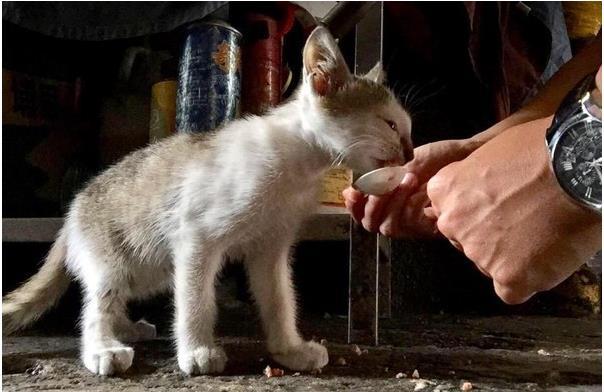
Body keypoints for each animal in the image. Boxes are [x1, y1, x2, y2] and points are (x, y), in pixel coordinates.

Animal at [3, 27, 410, 376]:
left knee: (116, 297)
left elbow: (279, 299)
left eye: (407, 130)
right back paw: (103, 348)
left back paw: (127, 328)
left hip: (149, 267)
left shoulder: (270, 247)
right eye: (390, 125)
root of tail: (73, 210)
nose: (408, 154)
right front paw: (197, 350)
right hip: (114, 255)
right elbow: (195, 299)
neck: (299, 166)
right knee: (96, 304)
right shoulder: (195, 236)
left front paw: (289, 350)